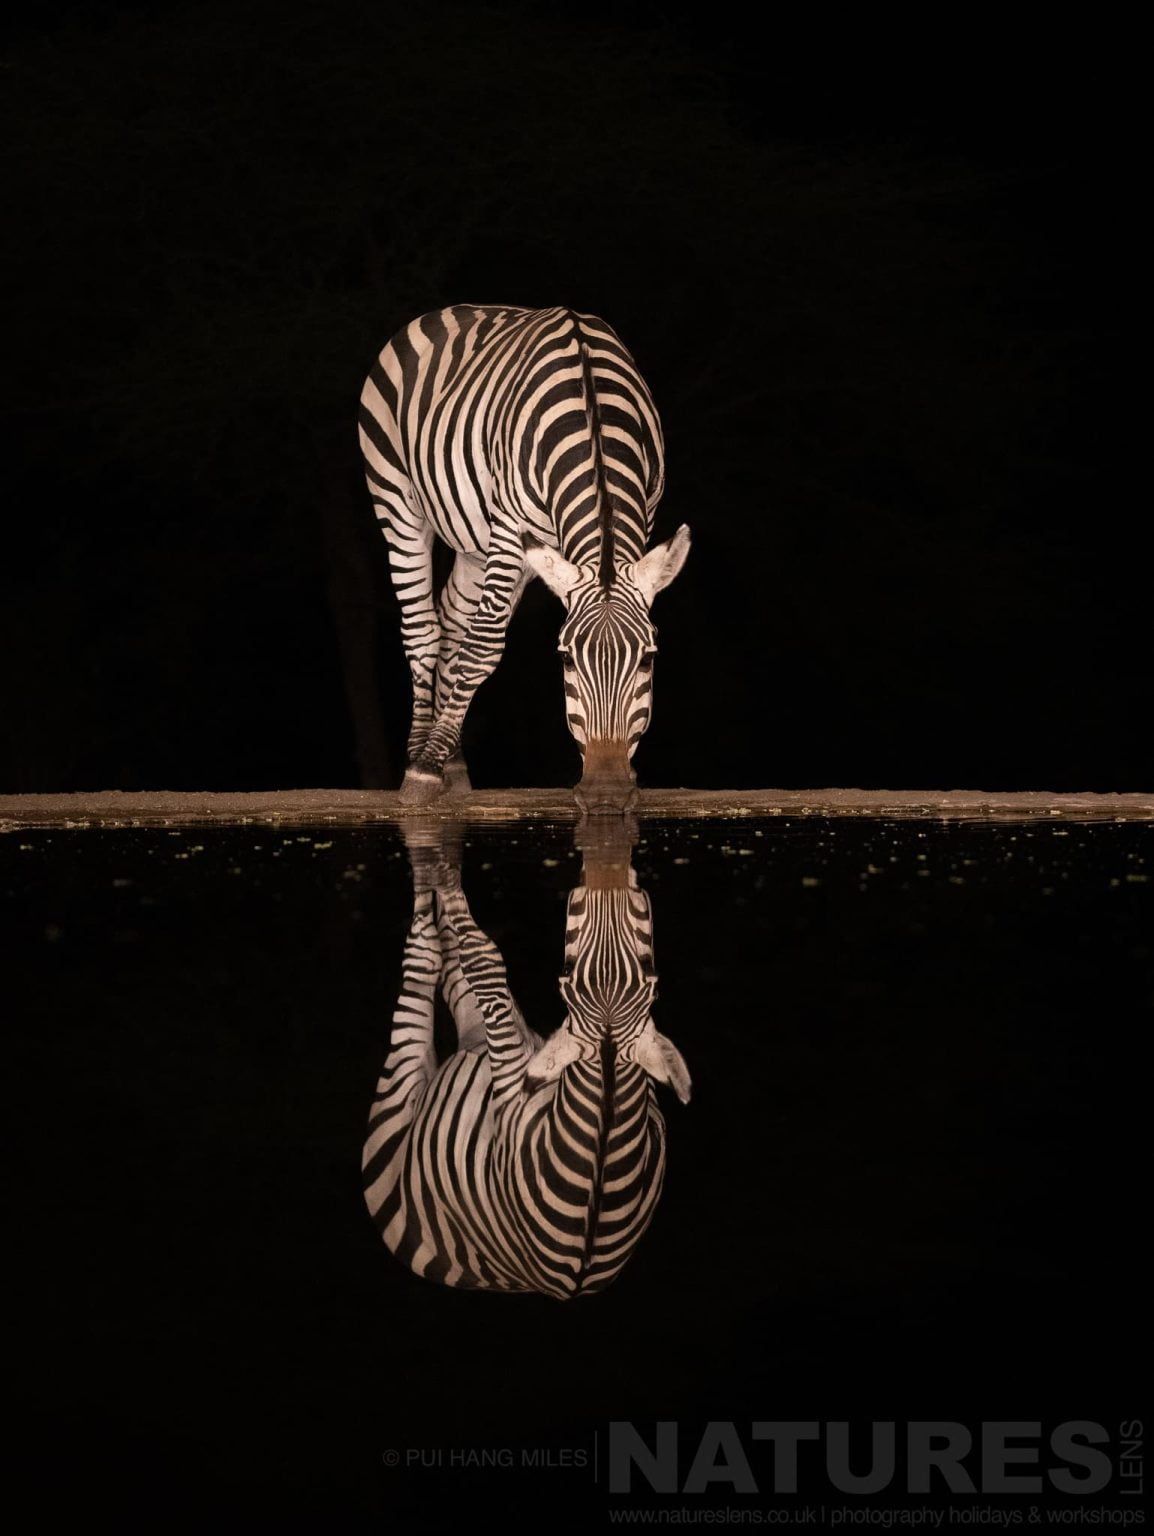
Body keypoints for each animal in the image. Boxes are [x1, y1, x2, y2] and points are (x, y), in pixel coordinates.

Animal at [358, 305, 691, 811]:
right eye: (566, 659)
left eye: (649, 659)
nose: (607, 794)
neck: (592, 416)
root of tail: (448, 310)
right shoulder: (511, 527)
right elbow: (483, 646)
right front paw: (425, 768)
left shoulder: (644, 515)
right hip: (396, 497)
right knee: (424, 629)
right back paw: (423, 758)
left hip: (476, 544)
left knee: (452, 618)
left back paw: (451, 757)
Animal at [362, 820, 691, 1299]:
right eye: (653, 976)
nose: (611, 879)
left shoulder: (509, 1083)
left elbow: (483, 958)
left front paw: (445, 879)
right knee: (453, 969)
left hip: (402, 1096)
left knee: (428, 954)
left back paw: (430, 860)